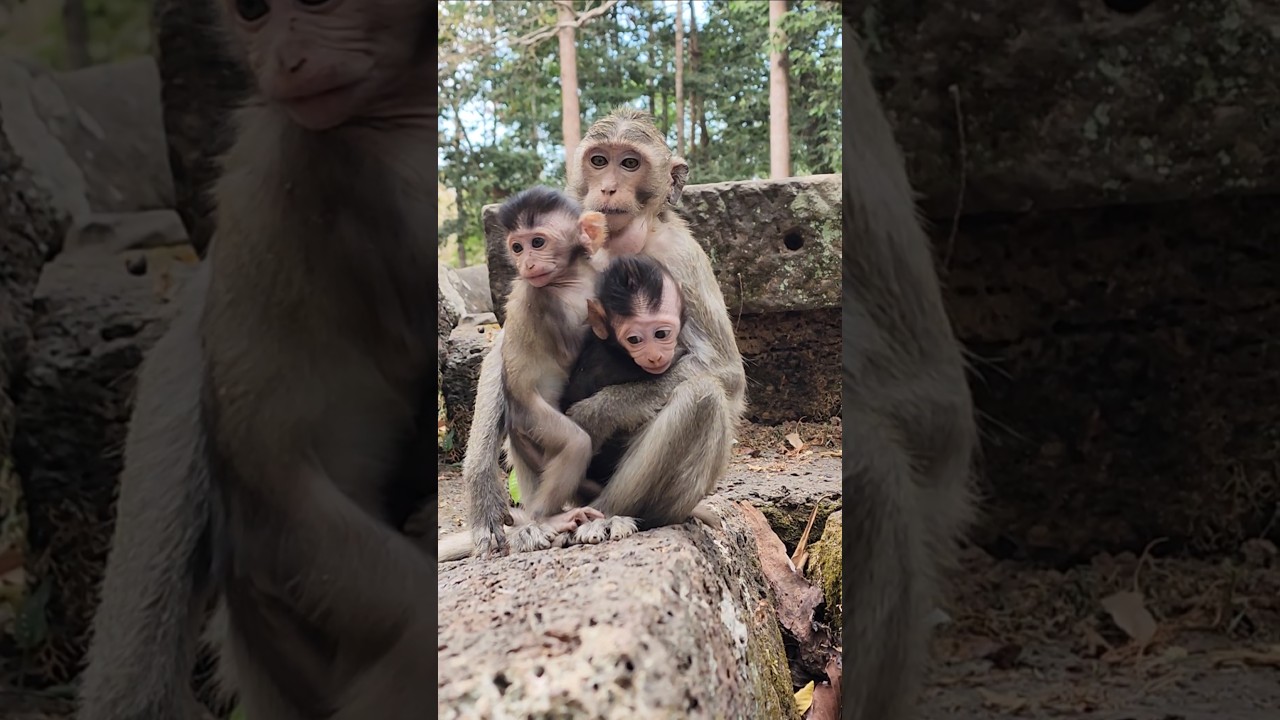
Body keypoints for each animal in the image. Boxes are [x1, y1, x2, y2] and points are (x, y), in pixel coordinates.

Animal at [460, 106, 746, 559]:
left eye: (629, 163)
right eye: (599, 161)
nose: (608, 187)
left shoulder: (680, 255)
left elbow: (723, 370)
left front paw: (594, 414)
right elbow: (506, 349)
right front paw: (481, 488)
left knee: (702, 398)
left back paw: (608, 514)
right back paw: (538, 522)